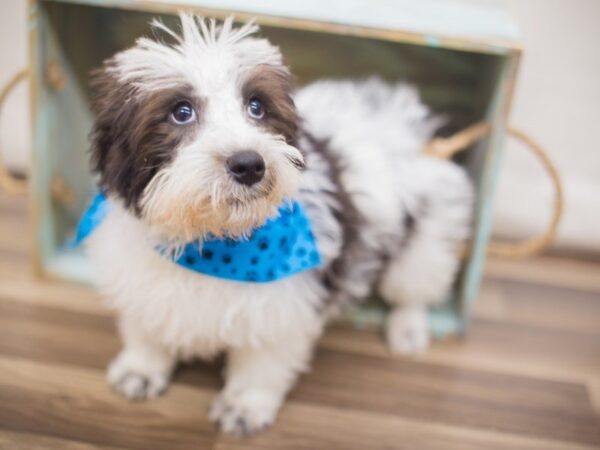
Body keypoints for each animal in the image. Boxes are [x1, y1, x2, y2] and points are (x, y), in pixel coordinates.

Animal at [85, 14, 474, 436]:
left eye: (257, 107)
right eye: (181, 111)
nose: (249, 164)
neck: (213, 243)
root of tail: (410, 119)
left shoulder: (283, 306)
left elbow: (262, 361)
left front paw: (244, 405)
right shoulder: (142, 276)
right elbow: (146, 325)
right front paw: (140, 367)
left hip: (428, 226)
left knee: (414, 284)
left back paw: (408, 327)